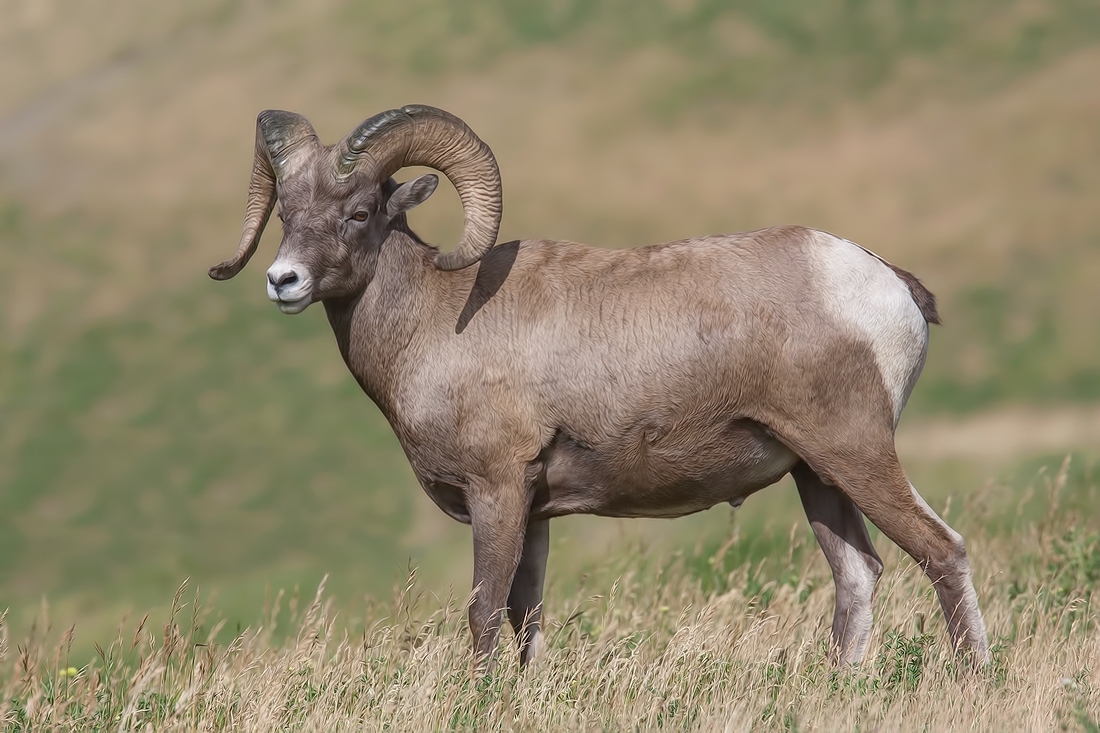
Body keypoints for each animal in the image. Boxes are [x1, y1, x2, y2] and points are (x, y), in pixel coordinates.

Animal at [207, 104, 990, 669]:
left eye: (360, 211)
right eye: (286, 214)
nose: (283, 281)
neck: (435, 320)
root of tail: (886, 282)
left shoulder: (497, 490)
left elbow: (484, 611)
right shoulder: (536, 513)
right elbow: (524, 616)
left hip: (854, 453)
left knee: (942, 550)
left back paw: (972, 680)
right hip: (816, 473)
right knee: (858, 573)